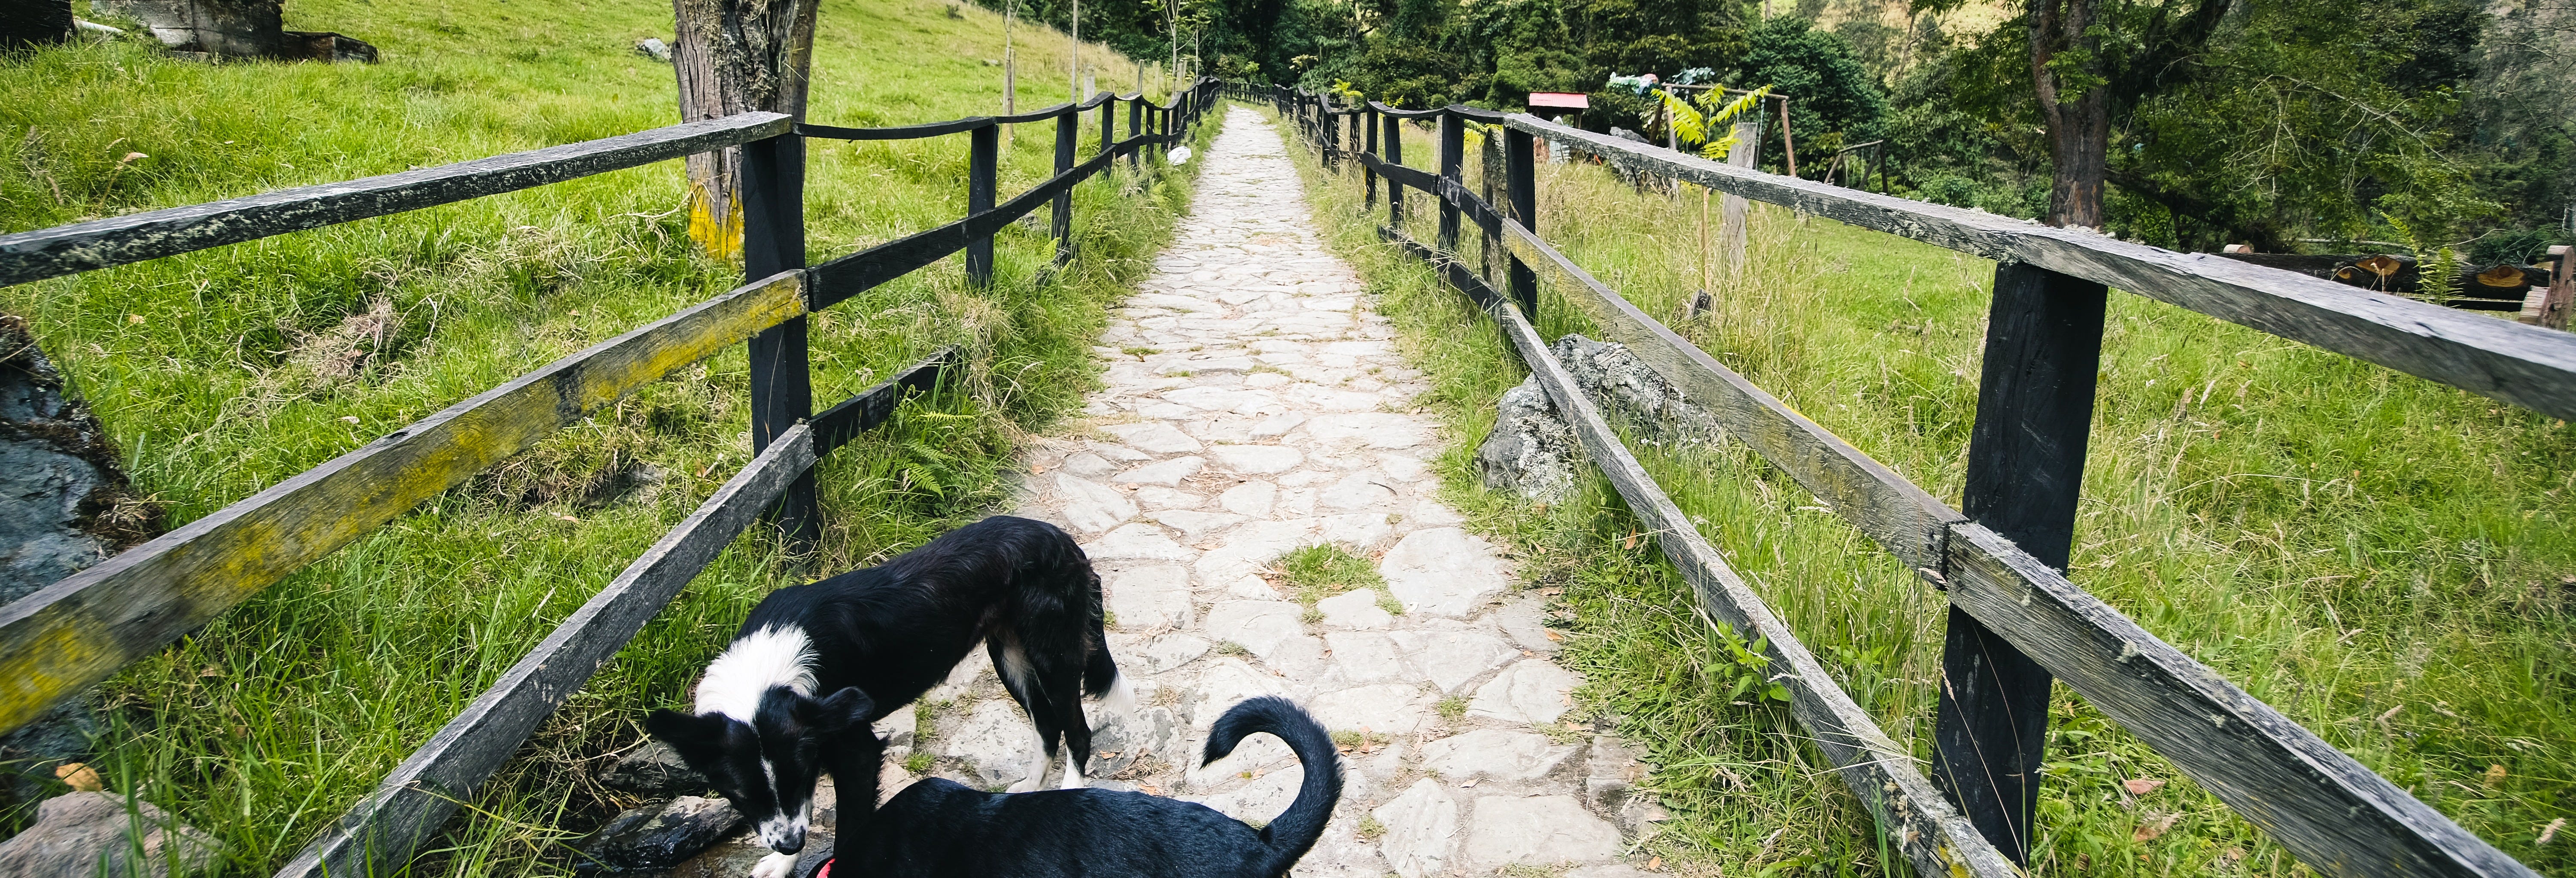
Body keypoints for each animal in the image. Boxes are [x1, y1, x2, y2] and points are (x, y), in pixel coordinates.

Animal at [644, 512, 1128, 875]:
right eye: (742, 795)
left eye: (797, 777)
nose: (790, 845)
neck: (767, 670)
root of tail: (1064, 541)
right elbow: (800, 814)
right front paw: (782, 865)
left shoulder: (856, 752)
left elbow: (845, 833)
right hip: (1010, 657)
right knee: (1046, 722)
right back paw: (1031, 785)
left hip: (1053, 657)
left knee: (1078, 731)